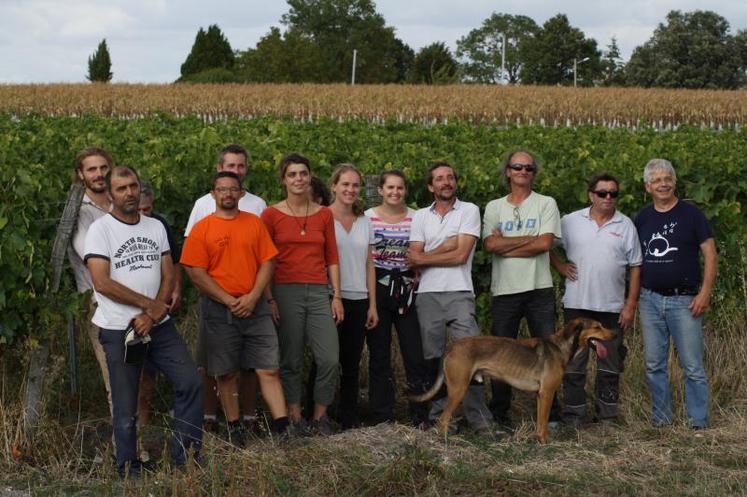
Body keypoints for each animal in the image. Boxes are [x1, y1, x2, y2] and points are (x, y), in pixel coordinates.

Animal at [412, 318, 616, 442]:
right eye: (597, 327)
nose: (614, 335)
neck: (560, 347)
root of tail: (451, 347)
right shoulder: (547, 393)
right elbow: (544, 421)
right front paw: (544, 442)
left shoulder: (540, 395)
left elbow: (541, 422)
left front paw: (538, 439)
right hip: (458, 389)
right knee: (442, 420)